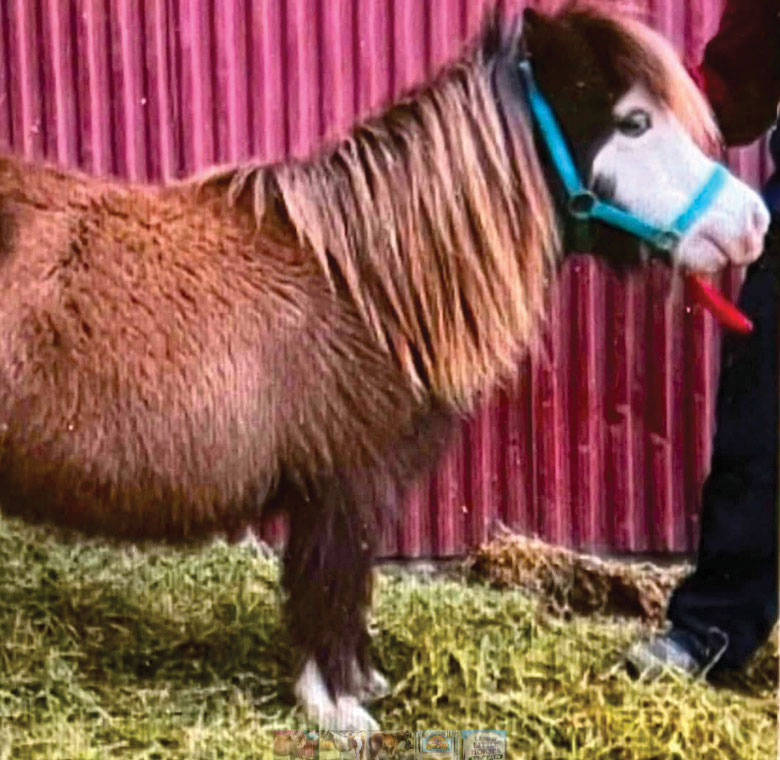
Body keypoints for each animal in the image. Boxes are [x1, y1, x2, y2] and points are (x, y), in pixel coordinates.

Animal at [0, 2, 768, 730]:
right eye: (634, 122)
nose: (753, 220)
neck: (370, 285)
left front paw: (361, 682)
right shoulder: (343, 485)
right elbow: (331, 586)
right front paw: (337, 705)